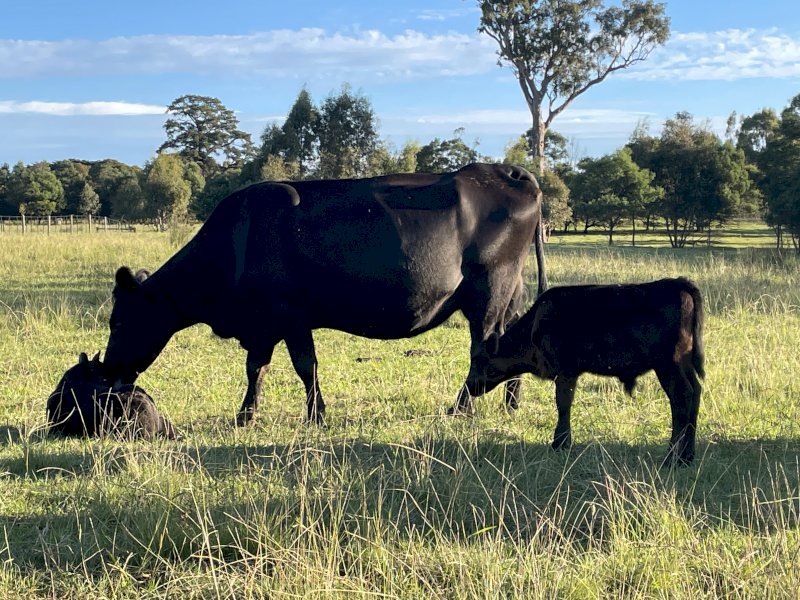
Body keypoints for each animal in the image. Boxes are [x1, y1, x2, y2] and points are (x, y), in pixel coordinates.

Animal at [101, 163, 547, 425]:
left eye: (118, 321)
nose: (107, 373)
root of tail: (503, 171)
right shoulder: (263, 324)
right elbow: (256, 368)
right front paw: (245, 415)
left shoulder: (290, 315)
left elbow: (305, 366)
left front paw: (316, 416)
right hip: (508, 292)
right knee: (507, 339)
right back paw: (510, 403)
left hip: (489, 289)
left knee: (483, 347)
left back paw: (459, 409)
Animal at [465, 277, 705, 465]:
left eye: (479, 360)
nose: (470, 387)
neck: (535, 325)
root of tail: (678, 283)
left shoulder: (566, 372)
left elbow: (563, 404)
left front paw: (560, 443)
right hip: (683, 365)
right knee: (695, 393)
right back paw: (687, 457)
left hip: (668, 365)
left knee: (681, 398)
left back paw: (672, 458)